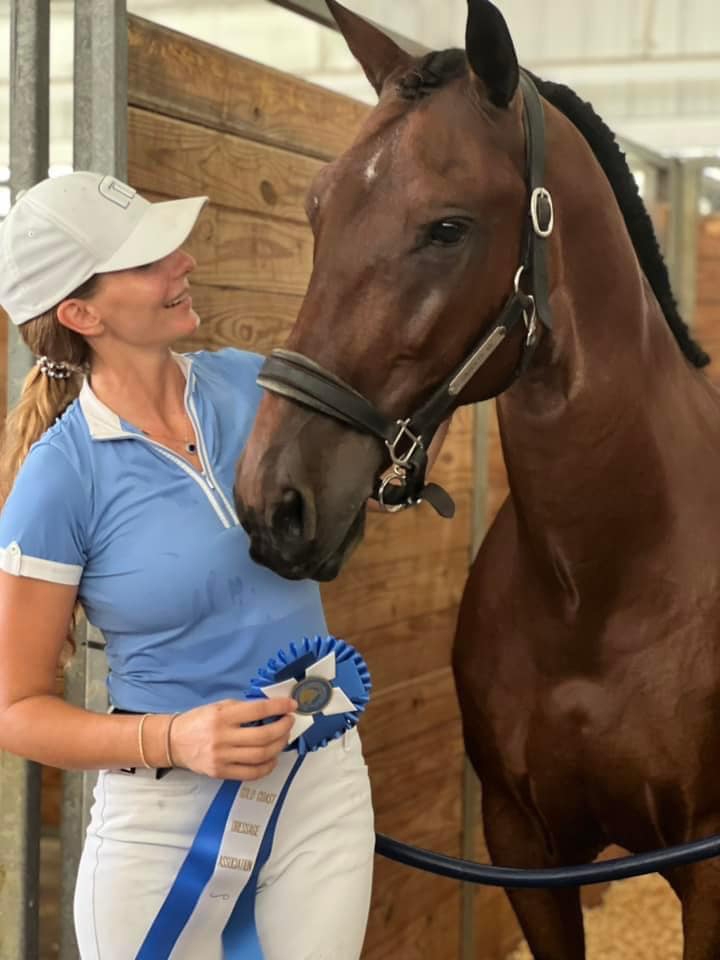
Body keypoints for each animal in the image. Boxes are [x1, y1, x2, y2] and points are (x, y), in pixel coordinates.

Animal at [233, 1, 720, 957]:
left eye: (448, 228)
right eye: (317, 210)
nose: (274, 500)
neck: (600, 593)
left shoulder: (709, 876)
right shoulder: (523, 848)